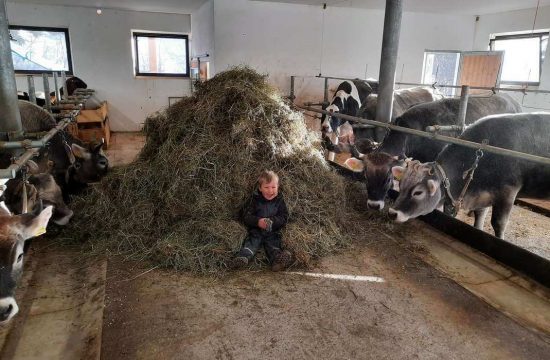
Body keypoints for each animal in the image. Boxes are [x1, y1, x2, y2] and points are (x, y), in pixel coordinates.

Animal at [390, 112, 550, 239]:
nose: (392, 213)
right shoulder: (483, 195)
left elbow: (499, 224)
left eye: (418, 192)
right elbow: (479, 217)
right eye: (401, 186)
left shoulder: (508, 192)